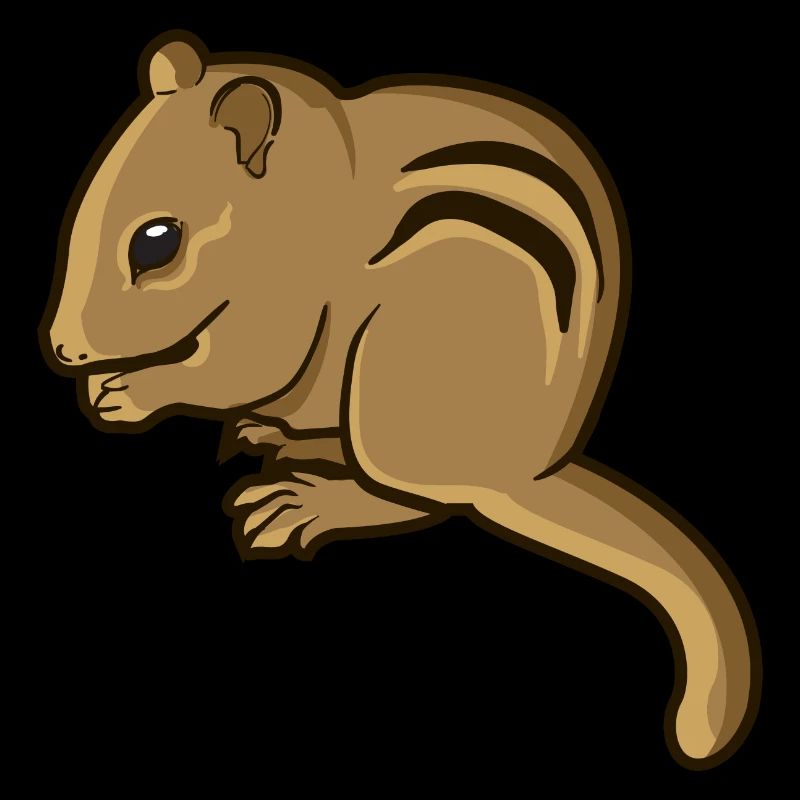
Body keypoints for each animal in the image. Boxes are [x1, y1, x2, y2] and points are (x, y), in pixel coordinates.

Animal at [41, 31, 759, 766]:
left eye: (157, 243)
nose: (61, 349)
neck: (301, 191)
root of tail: (527, 469)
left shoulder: (285, 308)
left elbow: (243, 367)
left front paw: (132, 390)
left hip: (394, 387)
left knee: (419, 498)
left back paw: (309, 502)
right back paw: (280, 438)